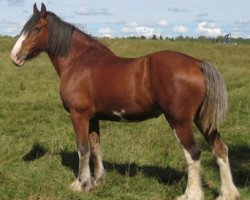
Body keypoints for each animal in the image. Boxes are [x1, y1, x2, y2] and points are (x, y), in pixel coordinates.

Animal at [10, 3, 240, 200]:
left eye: (37, 28)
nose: (15, 56)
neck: (79, 62)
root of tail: (198, 63)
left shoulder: (79, 115)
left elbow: (83, 148)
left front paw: (80, 184)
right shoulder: (93, 118)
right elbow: (96, 147)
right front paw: (97, 181)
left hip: (180, 121)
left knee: (193, 153)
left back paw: (191, 194)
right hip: (202, 120)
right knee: (220, 149)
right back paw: (227, 193)